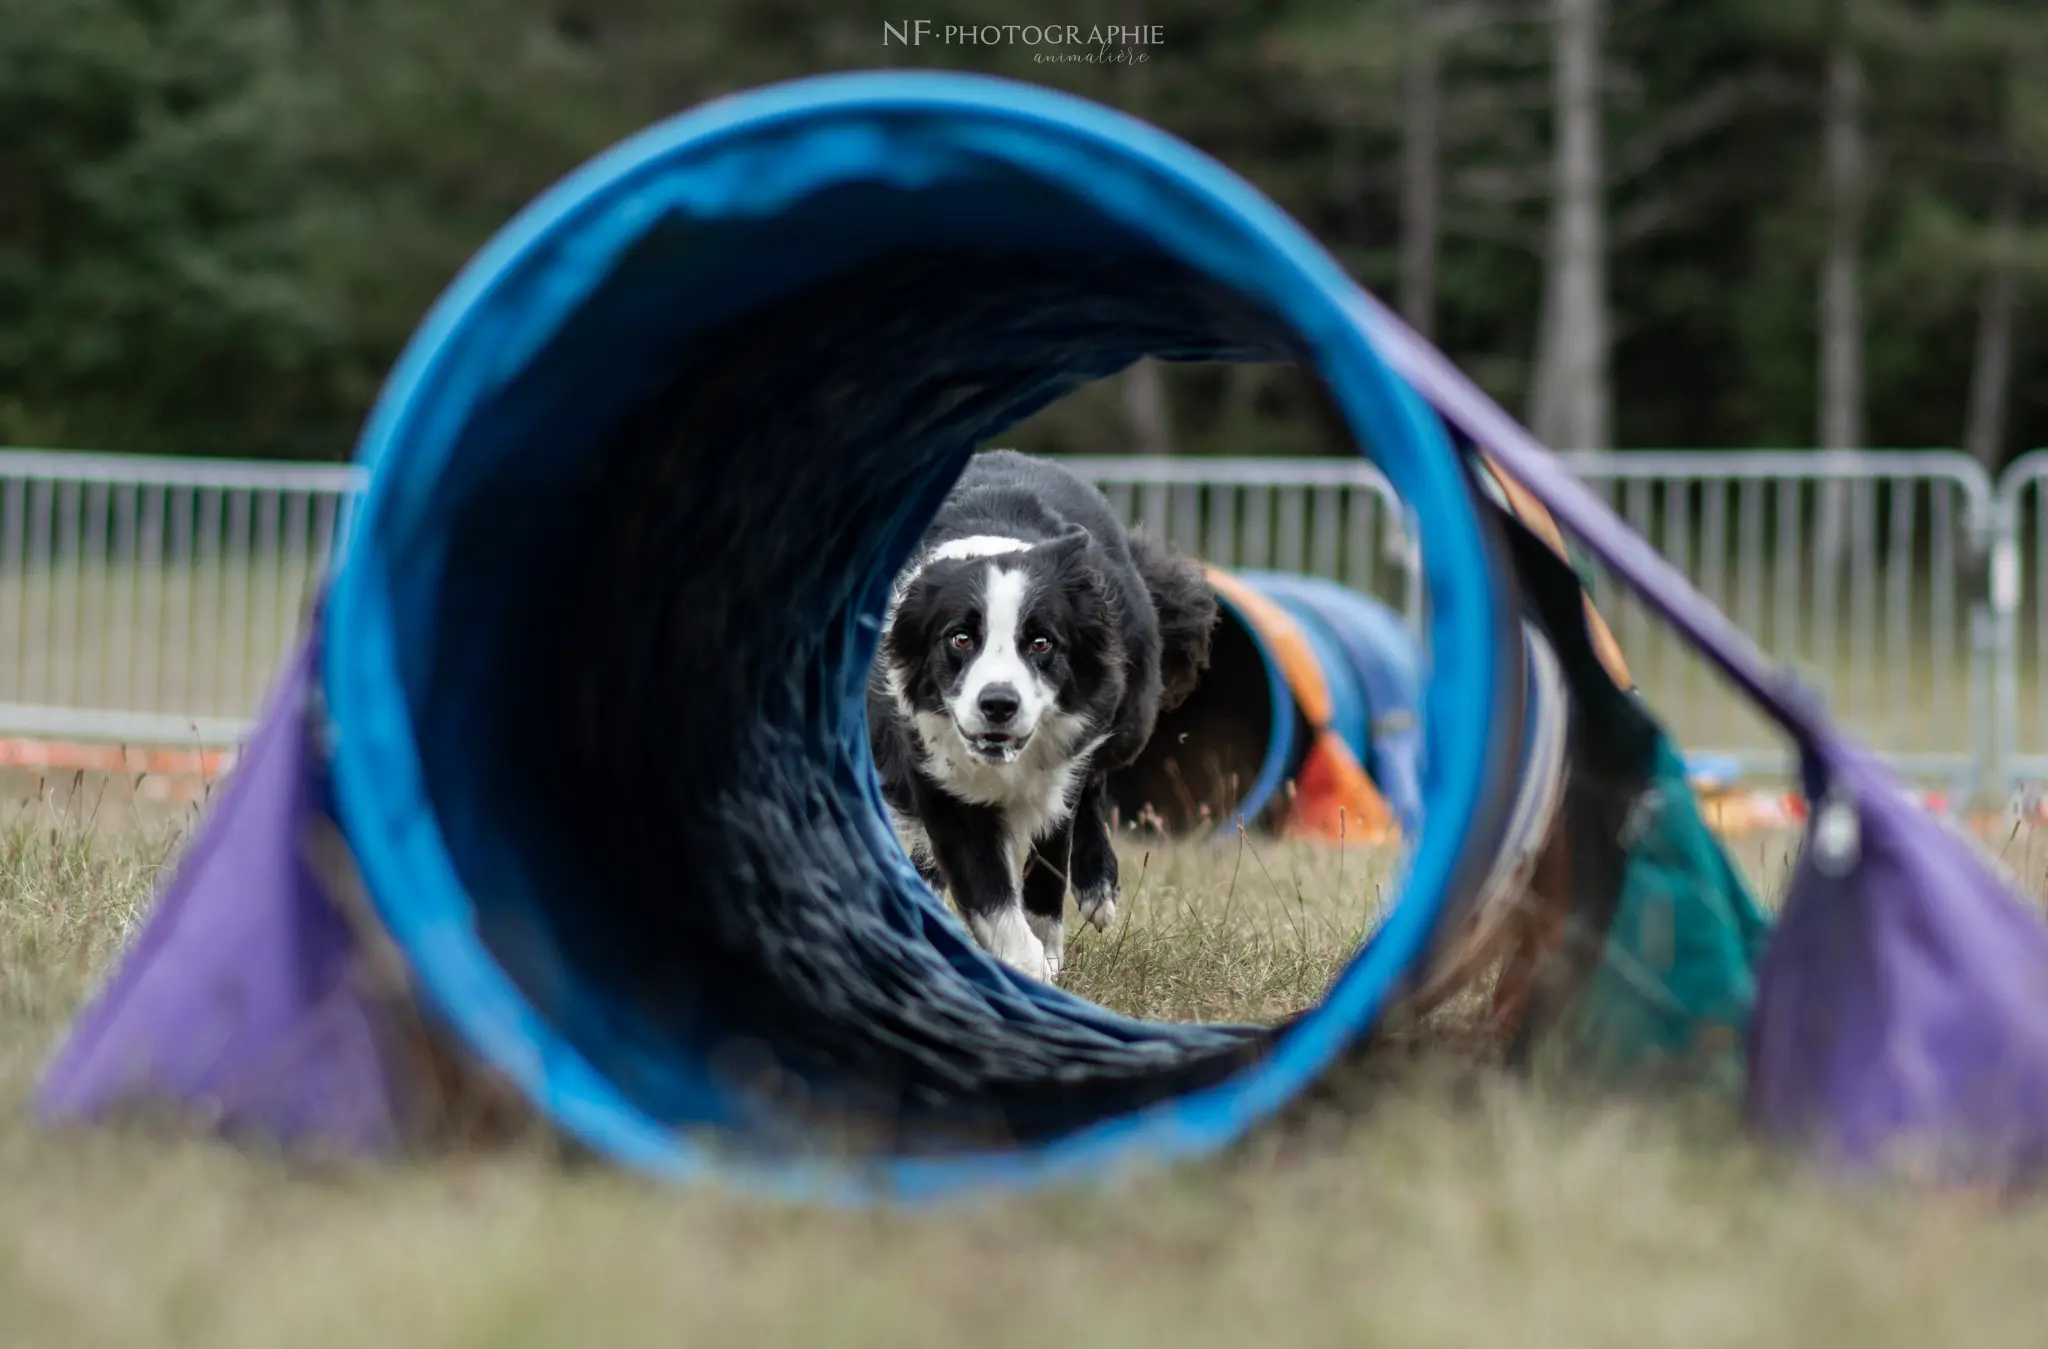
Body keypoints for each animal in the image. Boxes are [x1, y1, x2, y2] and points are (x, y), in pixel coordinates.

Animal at [868, 450, 1212, 982]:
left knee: (1093, 784)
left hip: (1130, 710)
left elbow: (1050, 860)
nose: (998, 704)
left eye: (1041, 642)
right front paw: (1026, 967)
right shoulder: (935, 771)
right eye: (960, 638)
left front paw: (1047, 959)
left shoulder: (1065, 753)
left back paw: (1098, 888)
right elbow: (986, 893)